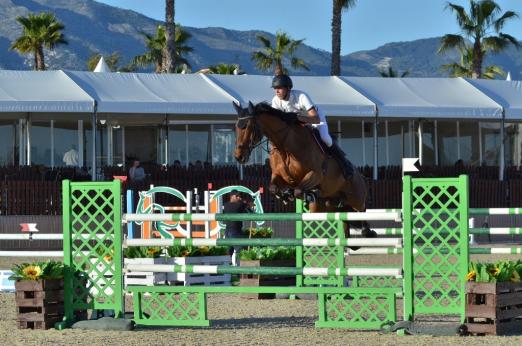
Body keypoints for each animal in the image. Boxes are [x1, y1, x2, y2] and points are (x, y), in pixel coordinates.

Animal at [232, 101, 374, 239]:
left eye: (249, 127)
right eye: (236, 127)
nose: (239, 157)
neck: (285, 147)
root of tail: (361, 176)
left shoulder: (315, 175)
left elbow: (299, 190)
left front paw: (306, 194)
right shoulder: (279, 176)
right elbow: (273, 188)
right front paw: (285, 195)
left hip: (356, 198)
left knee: (362, 211)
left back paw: (367, 231)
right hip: (328, 207)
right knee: (344, 219)